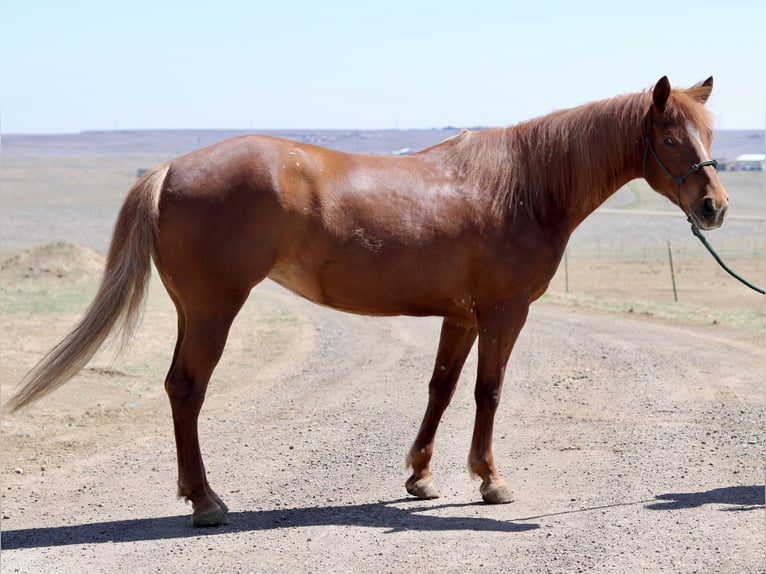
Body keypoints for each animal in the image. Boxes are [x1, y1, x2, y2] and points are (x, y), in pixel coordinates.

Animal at [7, 76, 728, 526]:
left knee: (175, 386)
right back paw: (207, 502)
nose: (714, 208)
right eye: (670, 139)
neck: (522, 185)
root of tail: (169, 169)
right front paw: (490, 479)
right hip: (215, 310)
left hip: (193, 311)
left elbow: (441, 388)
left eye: (711, 136)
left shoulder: (460, 315)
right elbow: (488, 392)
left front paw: (421, 476)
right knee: (187, 390)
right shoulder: (504, 312)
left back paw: (195, 493)